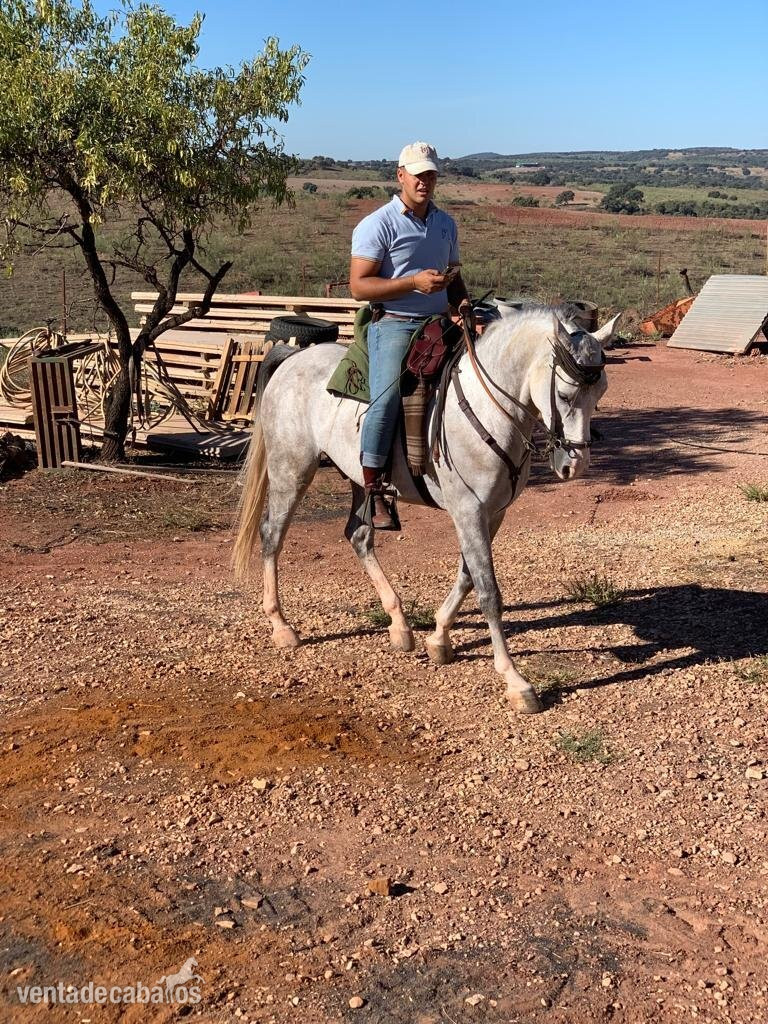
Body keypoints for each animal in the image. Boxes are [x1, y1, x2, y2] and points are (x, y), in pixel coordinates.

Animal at [233, 306, 619, 714]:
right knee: (272, 534)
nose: (574, 465)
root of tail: (293, 357)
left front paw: (438, 639)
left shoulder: (492, 513)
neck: (487, 409)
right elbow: (488, 592)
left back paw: (399, 624)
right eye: (564, 393)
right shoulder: (468, 510)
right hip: (291, 469)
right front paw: (516, 682)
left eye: (601, 391)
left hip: (357, 478)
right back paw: (281, 627)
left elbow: (467, 577)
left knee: (358, 535)